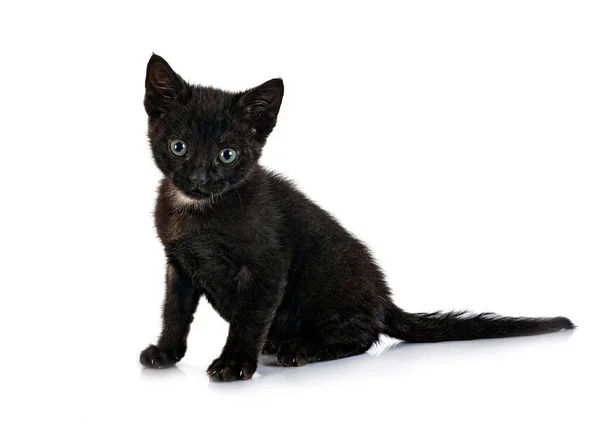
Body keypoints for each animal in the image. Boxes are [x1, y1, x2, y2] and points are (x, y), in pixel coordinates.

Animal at [138, 53, 576, 380]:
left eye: (227, 154)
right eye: (178, 146)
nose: (198, 179)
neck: (197, 211)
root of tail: (384, 300)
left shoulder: (267, 267)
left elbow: (249, 318)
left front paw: (234, 363)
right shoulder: (179, 265)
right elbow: (174, 311)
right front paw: (166, 352)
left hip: (328, 285)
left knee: (362, 337)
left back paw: (299, 348)